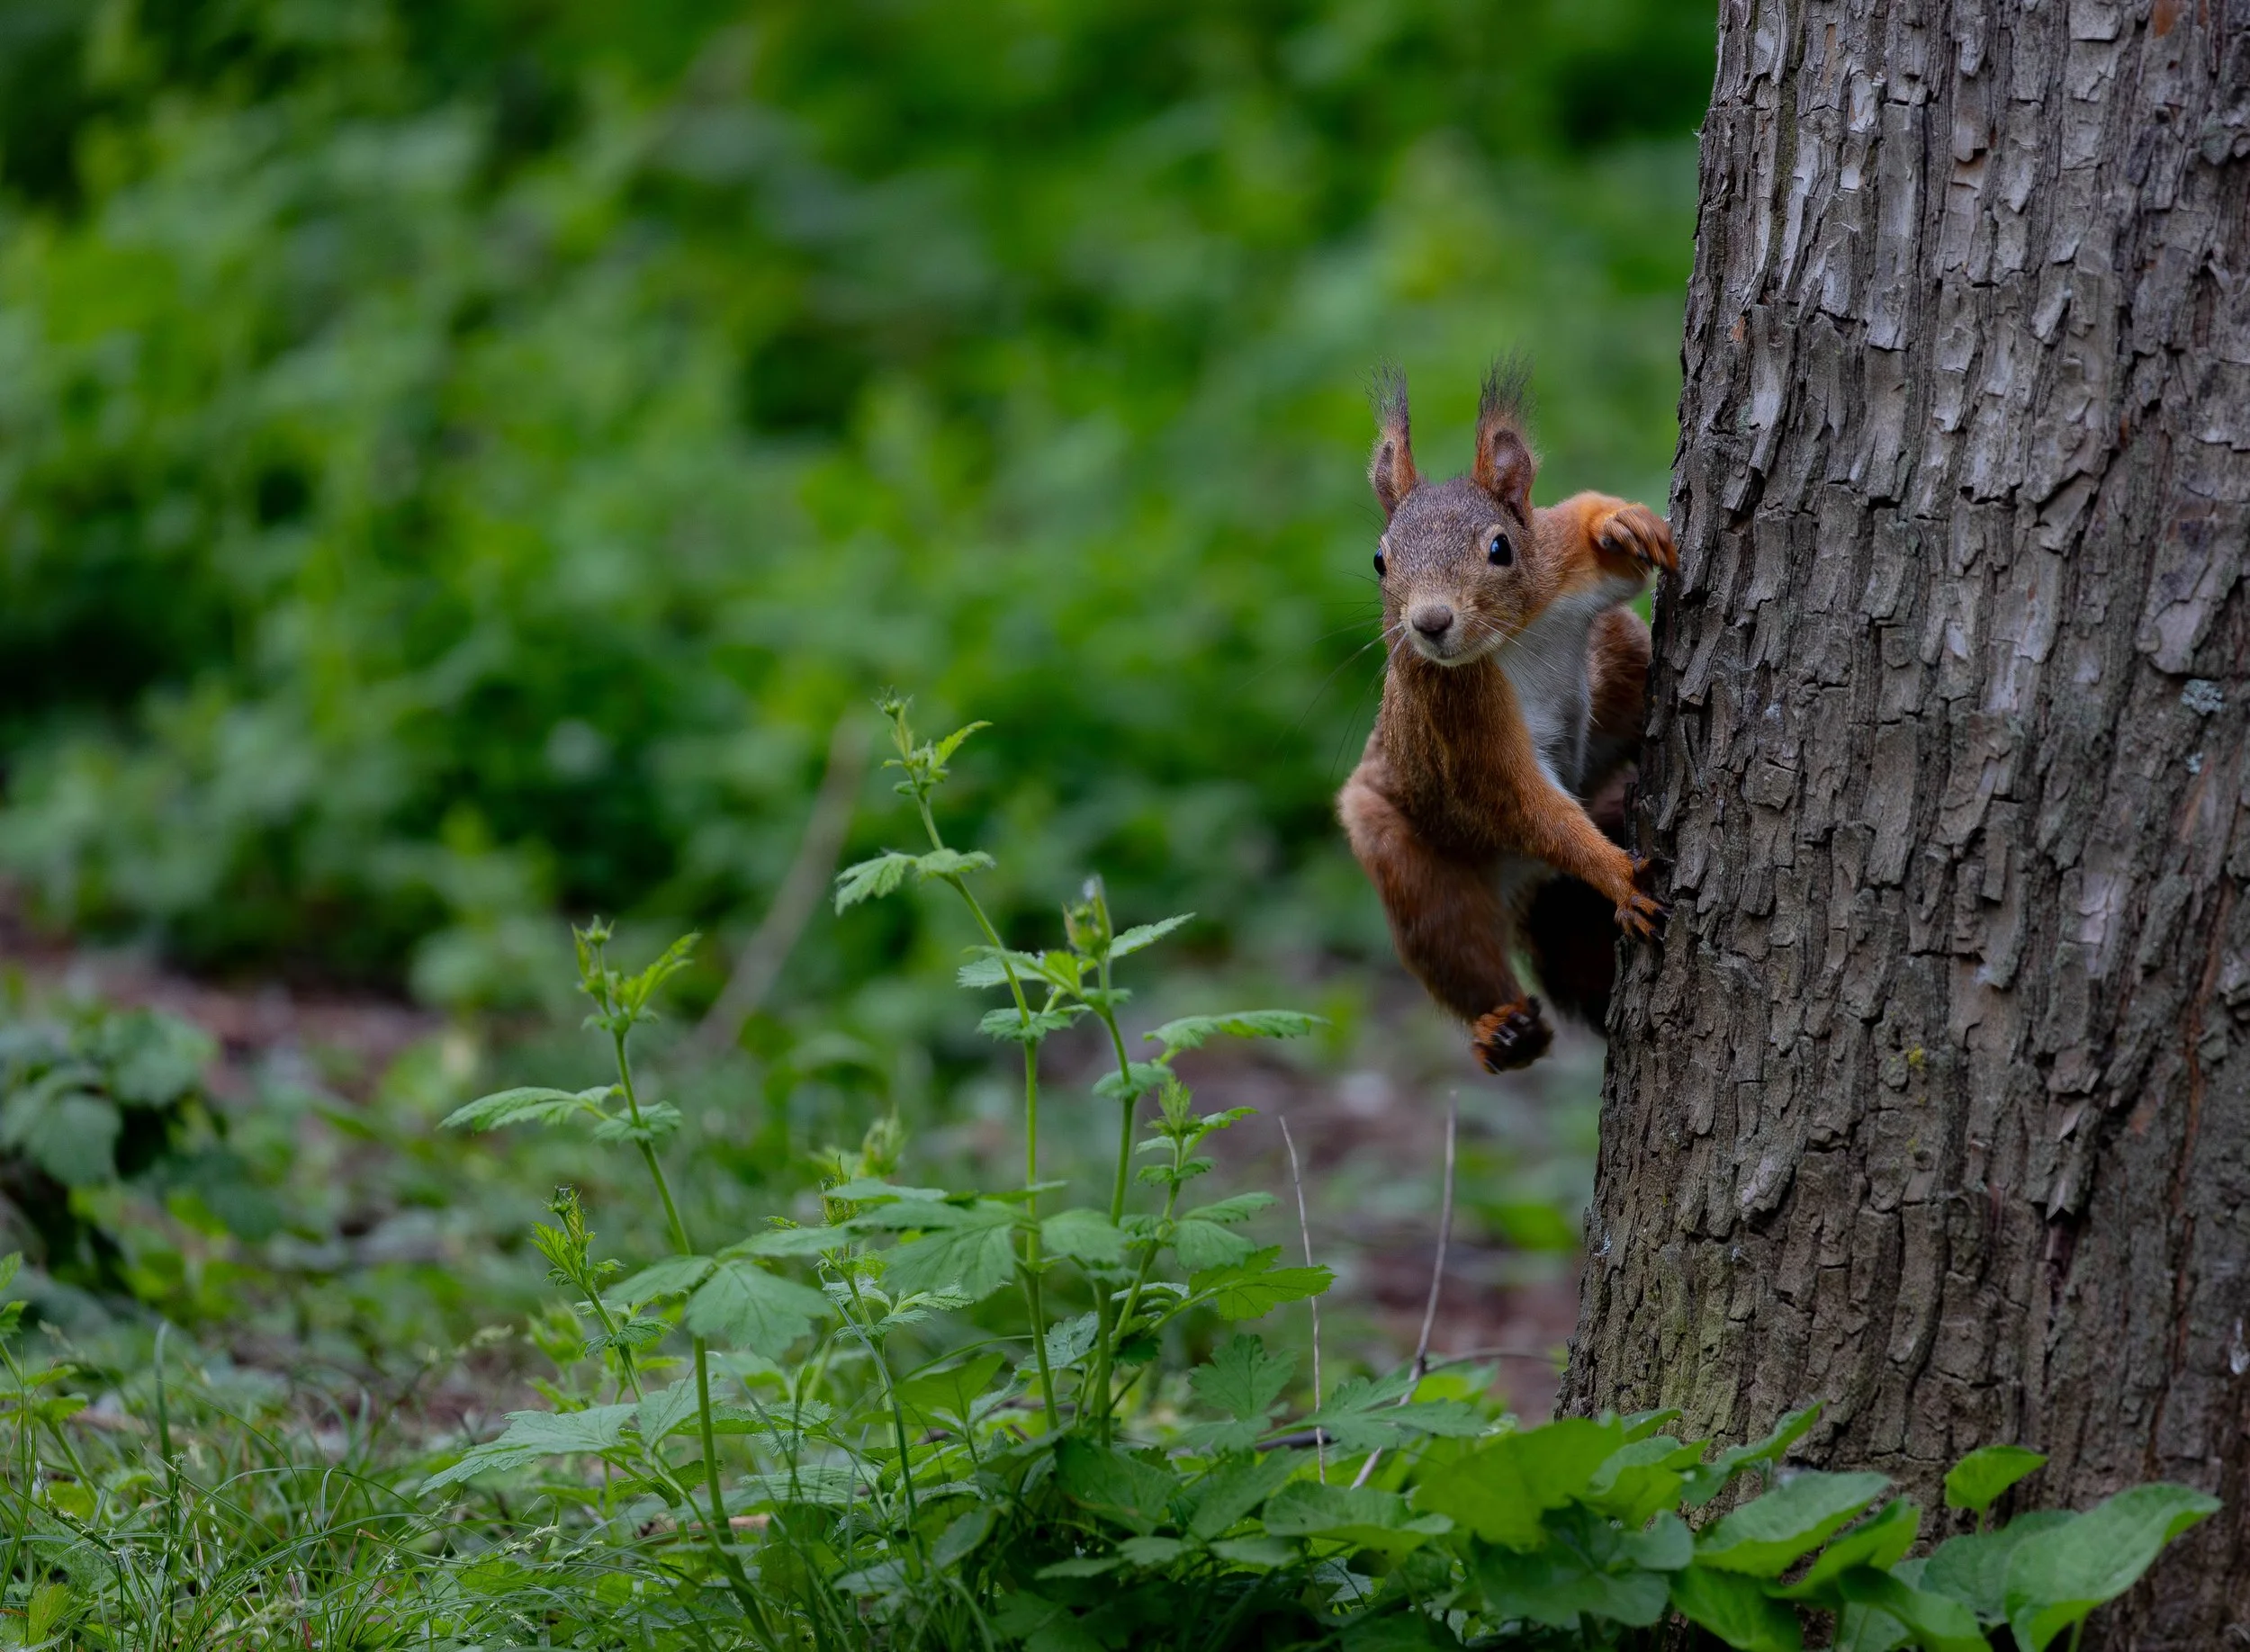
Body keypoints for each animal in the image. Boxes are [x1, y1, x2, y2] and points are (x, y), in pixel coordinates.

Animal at [1336, 361, 1674, 1073]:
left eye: (1500, 548)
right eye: (1380, 560)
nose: (1430, 623)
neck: (1510, 636)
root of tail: (1532, 884)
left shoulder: (1557, 564)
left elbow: (1578, 524)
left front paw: (1622, 521)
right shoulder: (1454, 711)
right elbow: (1518, 799)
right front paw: (1618, 877)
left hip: (1617, 655)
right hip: (1408, 859)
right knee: (1453, 944)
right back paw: (1507, 1031)